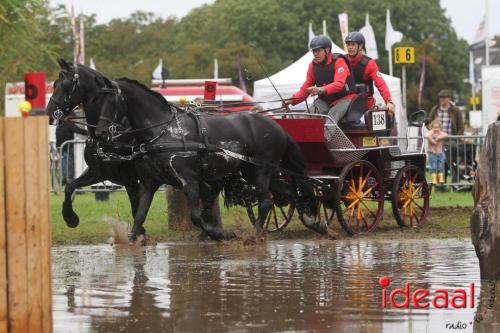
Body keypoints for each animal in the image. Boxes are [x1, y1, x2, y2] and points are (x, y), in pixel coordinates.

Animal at [46, 59, 142, 228]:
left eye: (66, 85)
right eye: (55, 83)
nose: (49, 111)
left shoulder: (131, 180)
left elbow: (136, 211)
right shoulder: (97, 173)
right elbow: (69, 187)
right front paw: (70, 217)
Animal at [93, 75, 324, 241]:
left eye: (112, 101)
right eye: (97, 100)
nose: (100, 133)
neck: (164, 131)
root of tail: (276, 126)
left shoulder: (189, 180)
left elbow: (196, 216)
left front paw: (220, 233)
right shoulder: (149, 183)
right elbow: (140, 215)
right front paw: (132, 239)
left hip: (262, 171)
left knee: (266, 201)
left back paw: (256, 234)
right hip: (256, 171)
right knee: (289, 194)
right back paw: (312, 222)